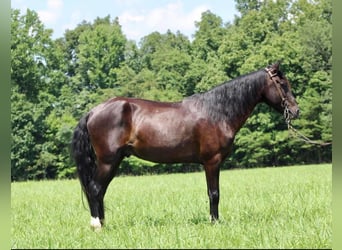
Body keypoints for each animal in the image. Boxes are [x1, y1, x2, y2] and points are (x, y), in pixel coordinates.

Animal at [71, 62, 300, 229]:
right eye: (283, 84)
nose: (296, 111)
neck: (217, 112)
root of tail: (93, 111)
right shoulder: (212, 162)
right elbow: (214, 194)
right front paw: (215, 223)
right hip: (108, 161)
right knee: (95, 189)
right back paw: (97, 226)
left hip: (114, 161)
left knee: (100, 191)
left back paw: (103, 224)